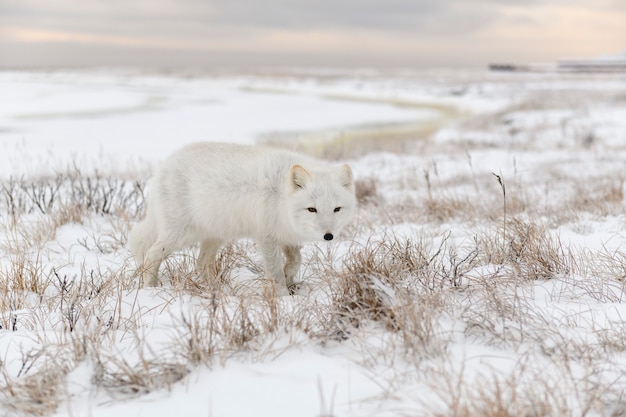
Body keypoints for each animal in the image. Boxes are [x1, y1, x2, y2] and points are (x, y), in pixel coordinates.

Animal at [129, 141, 356, 290]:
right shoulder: (266, 236)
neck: (281, 196)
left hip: (215, 236)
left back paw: (213, 289)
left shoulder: (285, 234)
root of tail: (164, 166)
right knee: (151, 254)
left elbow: (296, 260)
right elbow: (274, 272)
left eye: (337, 209)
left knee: (201, 262)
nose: (328, 236)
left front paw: (290, 278)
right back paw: (150, 287)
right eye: (312, 209)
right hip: (180, 234)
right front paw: (282, 296)